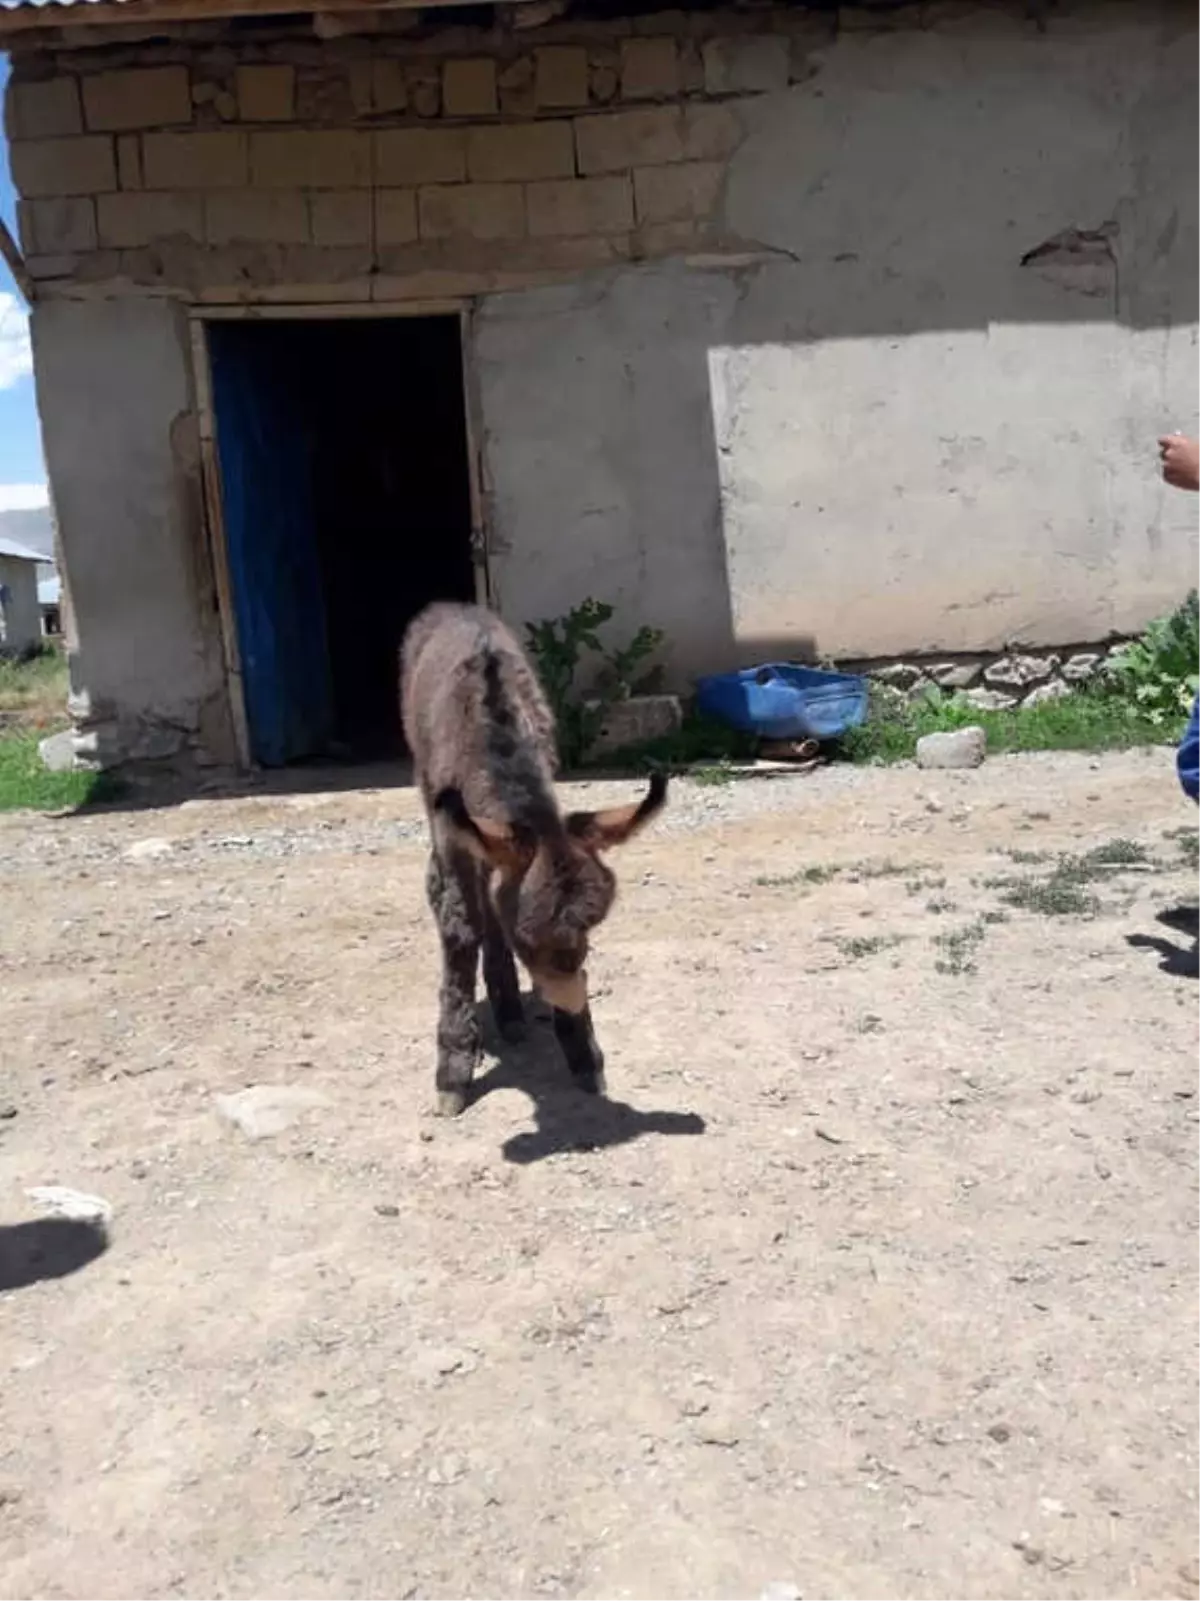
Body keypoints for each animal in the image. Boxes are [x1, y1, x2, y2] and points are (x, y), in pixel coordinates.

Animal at [401, 601, 668, 1114]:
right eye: (527, 940)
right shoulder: (455, 842)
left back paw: (509, 1012)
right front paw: (453, 1069)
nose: (567, 1001)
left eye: (590, 930)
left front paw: (583, 1055)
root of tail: (452, 606)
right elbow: (461, 931)